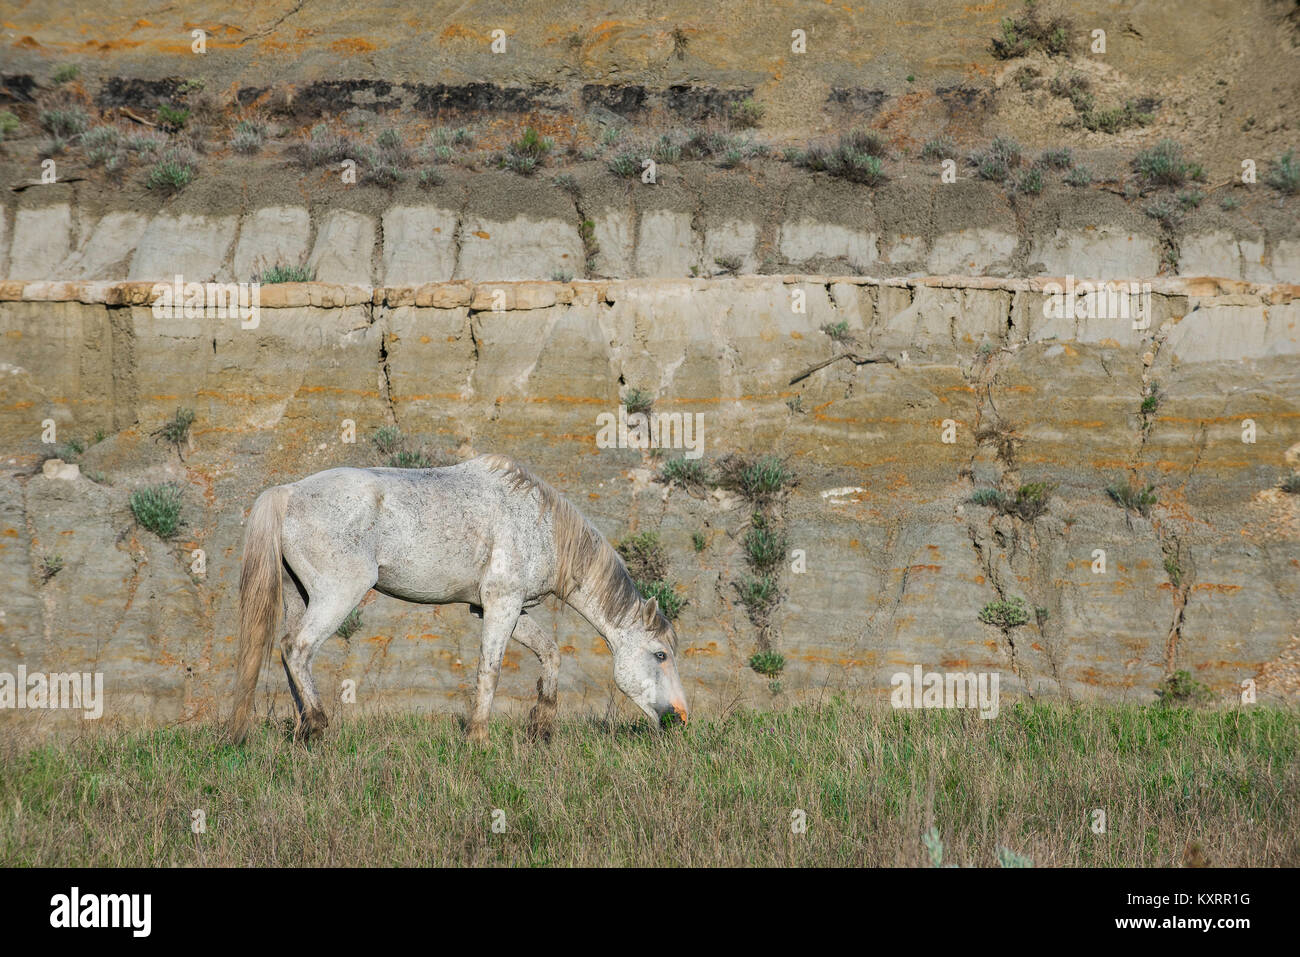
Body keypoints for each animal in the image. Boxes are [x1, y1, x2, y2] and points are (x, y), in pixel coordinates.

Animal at [230, 452, 691, 743]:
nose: (680, 718)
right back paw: (318, 724)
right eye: (660, 655)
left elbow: (551, 654)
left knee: (289, 654)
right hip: (338, 595)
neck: (540, 523)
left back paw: (303, 730)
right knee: (298, 648)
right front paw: (479, 736)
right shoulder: (501, 605)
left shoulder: (503, 608)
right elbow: (490, 669)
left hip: (299, 597)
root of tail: (288, 492)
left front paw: (541, 728)